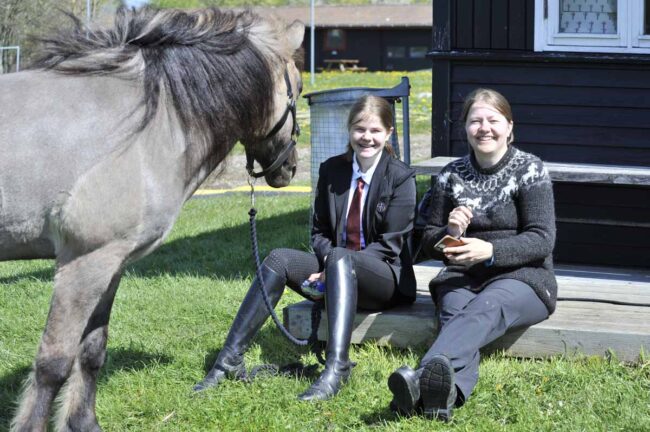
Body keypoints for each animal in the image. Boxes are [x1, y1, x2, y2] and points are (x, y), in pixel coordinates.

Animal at [0, 6, 304, 431]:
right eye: (300, 88)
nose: (289, 168)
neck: (137, 127)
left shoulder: (110, 264)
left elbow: (91, 351)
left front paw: (84, 422)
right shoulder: (83, 264)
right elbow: (53, 363)